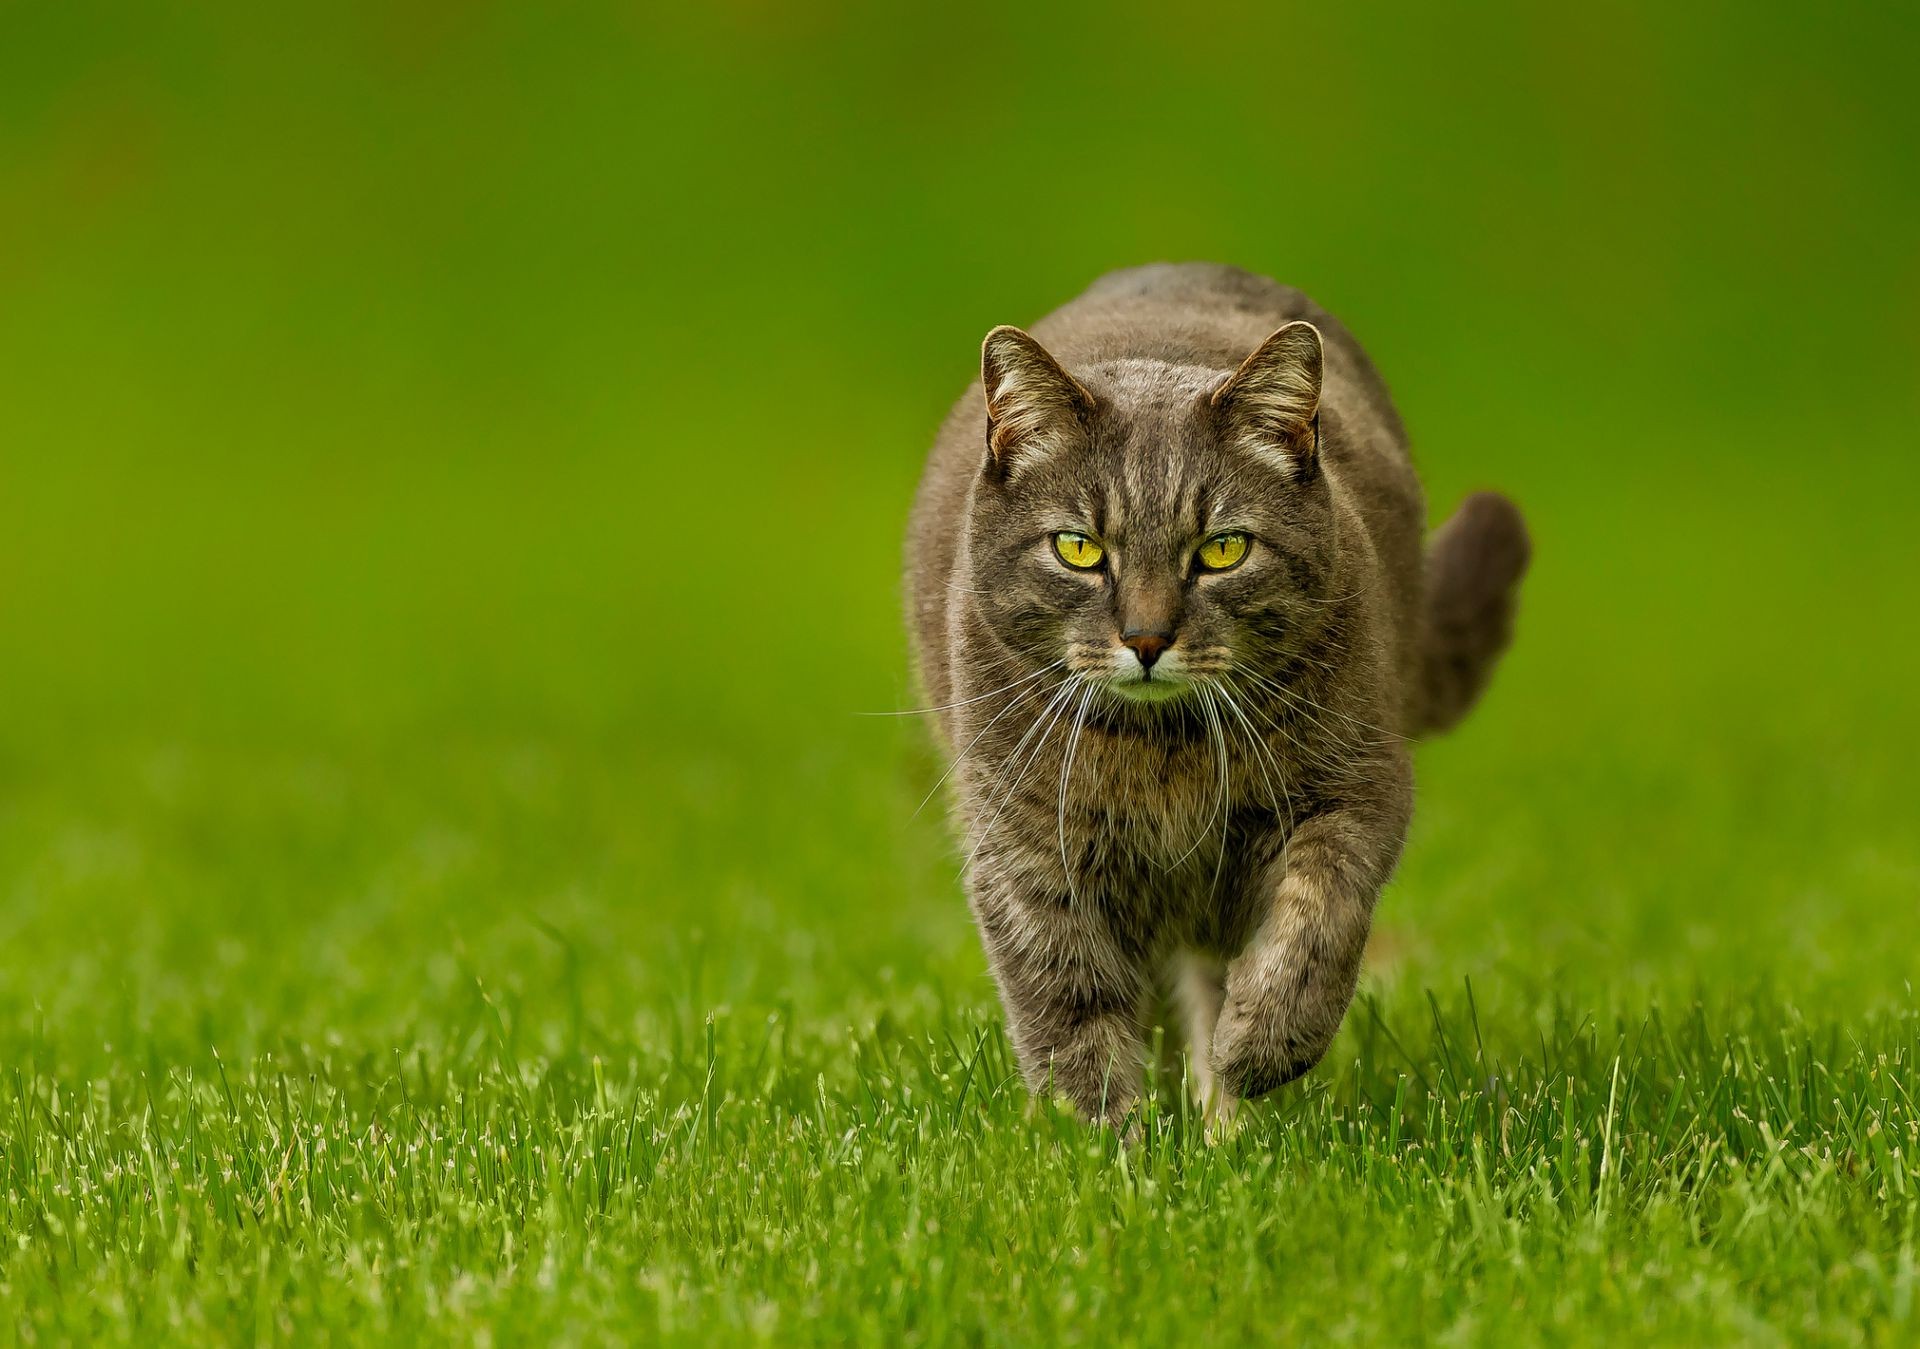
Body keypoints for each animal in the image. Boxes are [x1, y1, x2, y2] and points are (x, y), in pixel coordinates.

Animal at [902, 264, 1528, 1128]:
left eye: (1223, 549)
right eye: (1079, 548)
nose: (1146, 637)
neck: (1166, 753)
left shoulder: (1356, 792)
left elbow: (1315, 924)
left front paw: (1258, 1047)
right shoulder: (1023, 844)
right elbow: (1068, 1008)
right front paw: (1105, 1141)